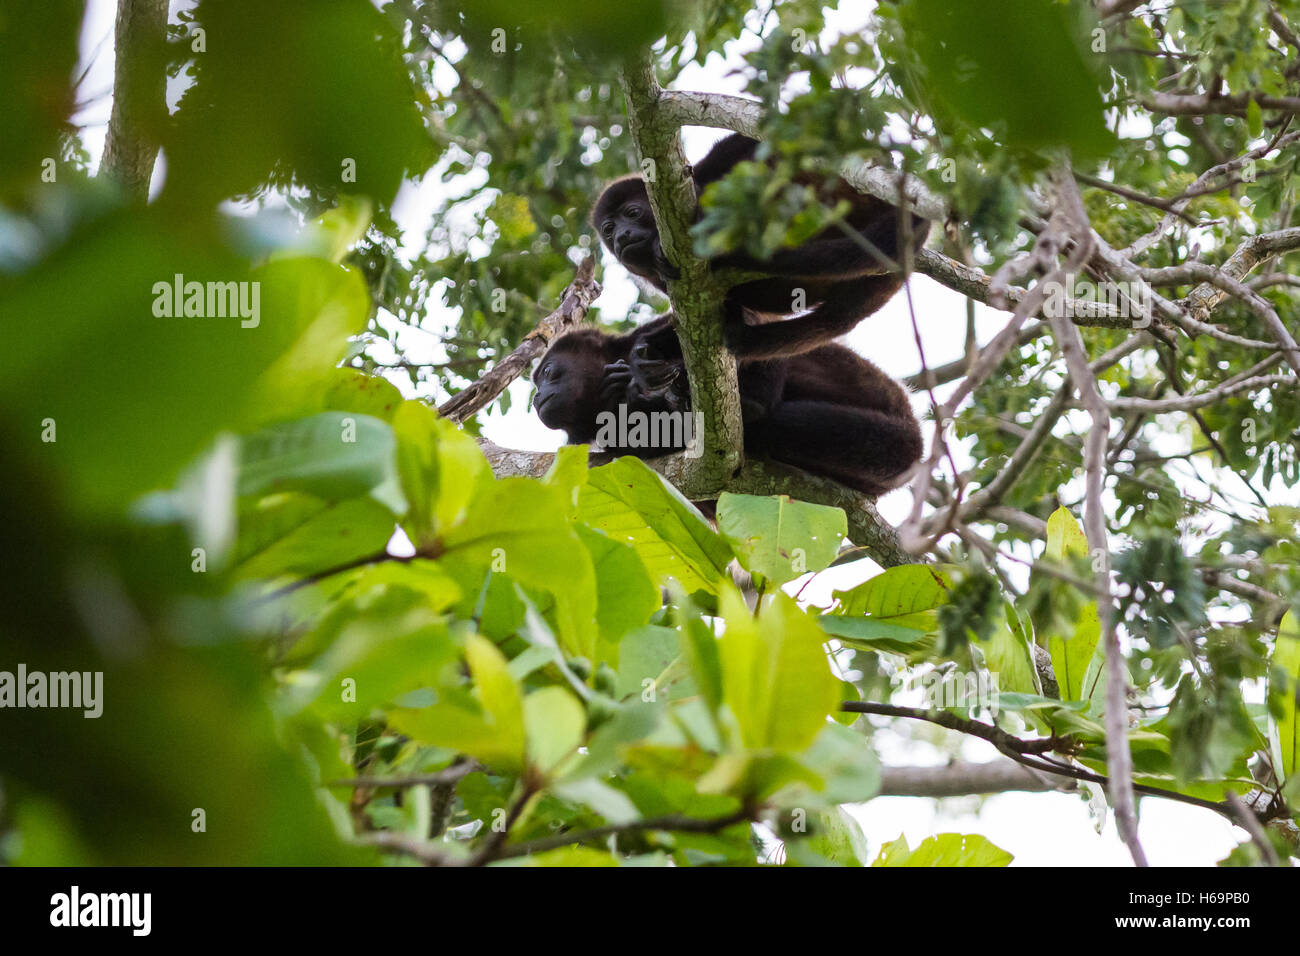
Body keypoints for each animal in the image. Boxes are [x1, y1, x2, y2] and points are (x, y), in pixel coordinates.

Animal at [591, 133, 931, 361]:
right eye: (608, 229)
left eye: (632, 213)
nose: (622, 236)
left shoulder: (703, 173)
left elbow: (746, 142)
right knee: (834, 320)